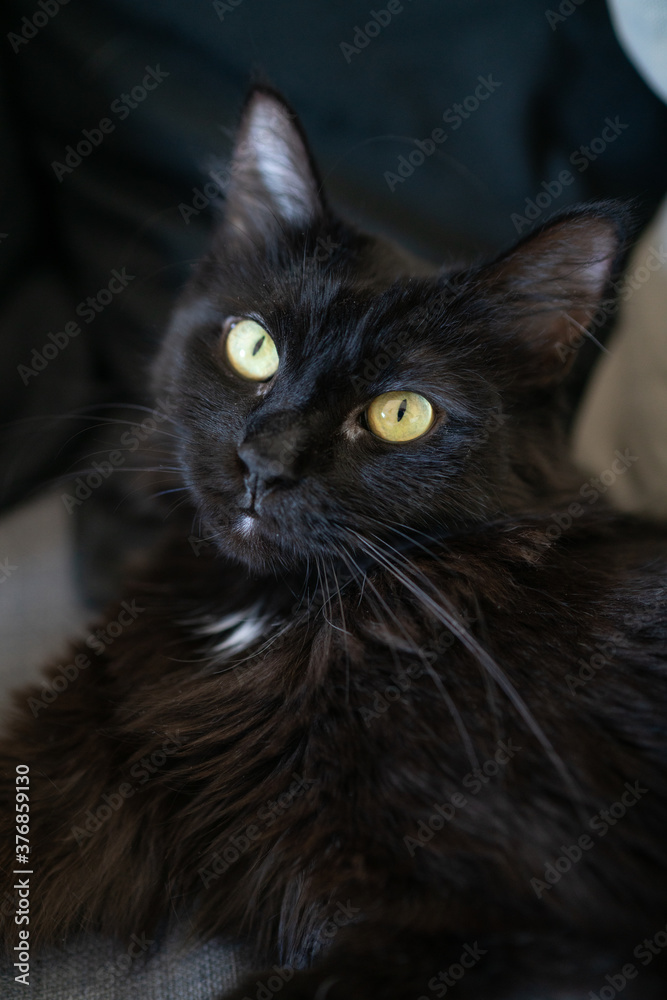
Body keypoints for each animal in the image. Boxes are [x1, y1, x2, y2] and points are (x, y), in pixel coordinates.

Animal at [1, 88, 667, 1000]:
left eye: (400, 414)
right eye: (253, 347)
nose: (265, 462)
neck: (271, 619)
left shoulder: (521, 929)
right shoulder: (88, 742)